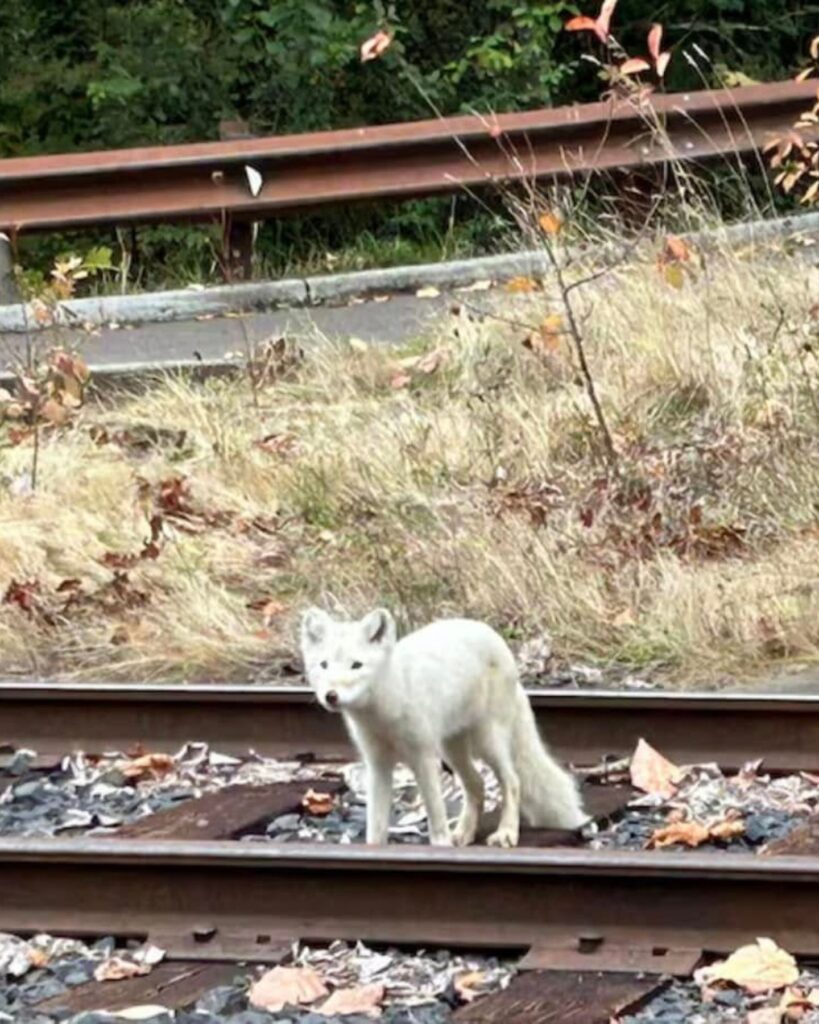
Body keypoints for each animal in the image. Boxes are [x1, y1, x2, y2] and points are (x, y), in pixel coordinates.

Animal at [300, 608, 587, 848]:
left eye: (356, 665)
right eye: (324, 665)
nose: (331, 696)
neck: (385, 711)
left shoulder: (424, 758)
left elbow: (436, 817)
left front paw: (441, 847)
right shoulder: (378, 764)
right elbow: (376, 826)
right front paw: (374, 849)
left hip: (487, 743)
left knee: (512, 781)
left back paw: (505, 834)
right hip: (452, 748)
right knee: (477, 784)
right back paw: (463, 834)